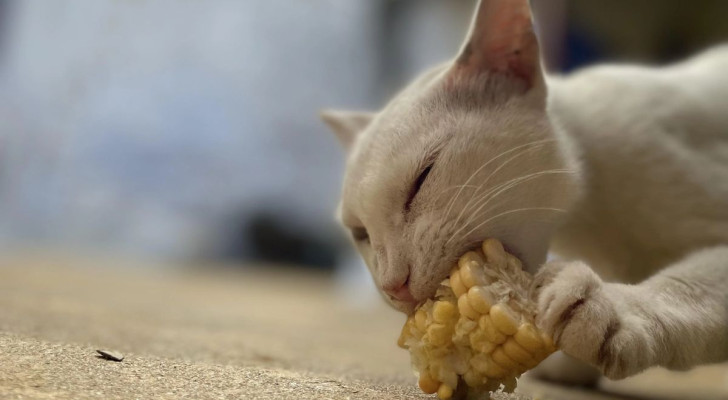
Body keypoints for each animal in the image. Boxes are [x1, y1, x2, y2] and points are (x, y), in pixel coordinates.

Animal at [322, 0, 728, 382]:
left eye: (422, 178)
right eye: (360, 233)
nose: (394, 286)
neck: (594, 227)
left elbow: (689, 285)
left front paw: (607, 309)